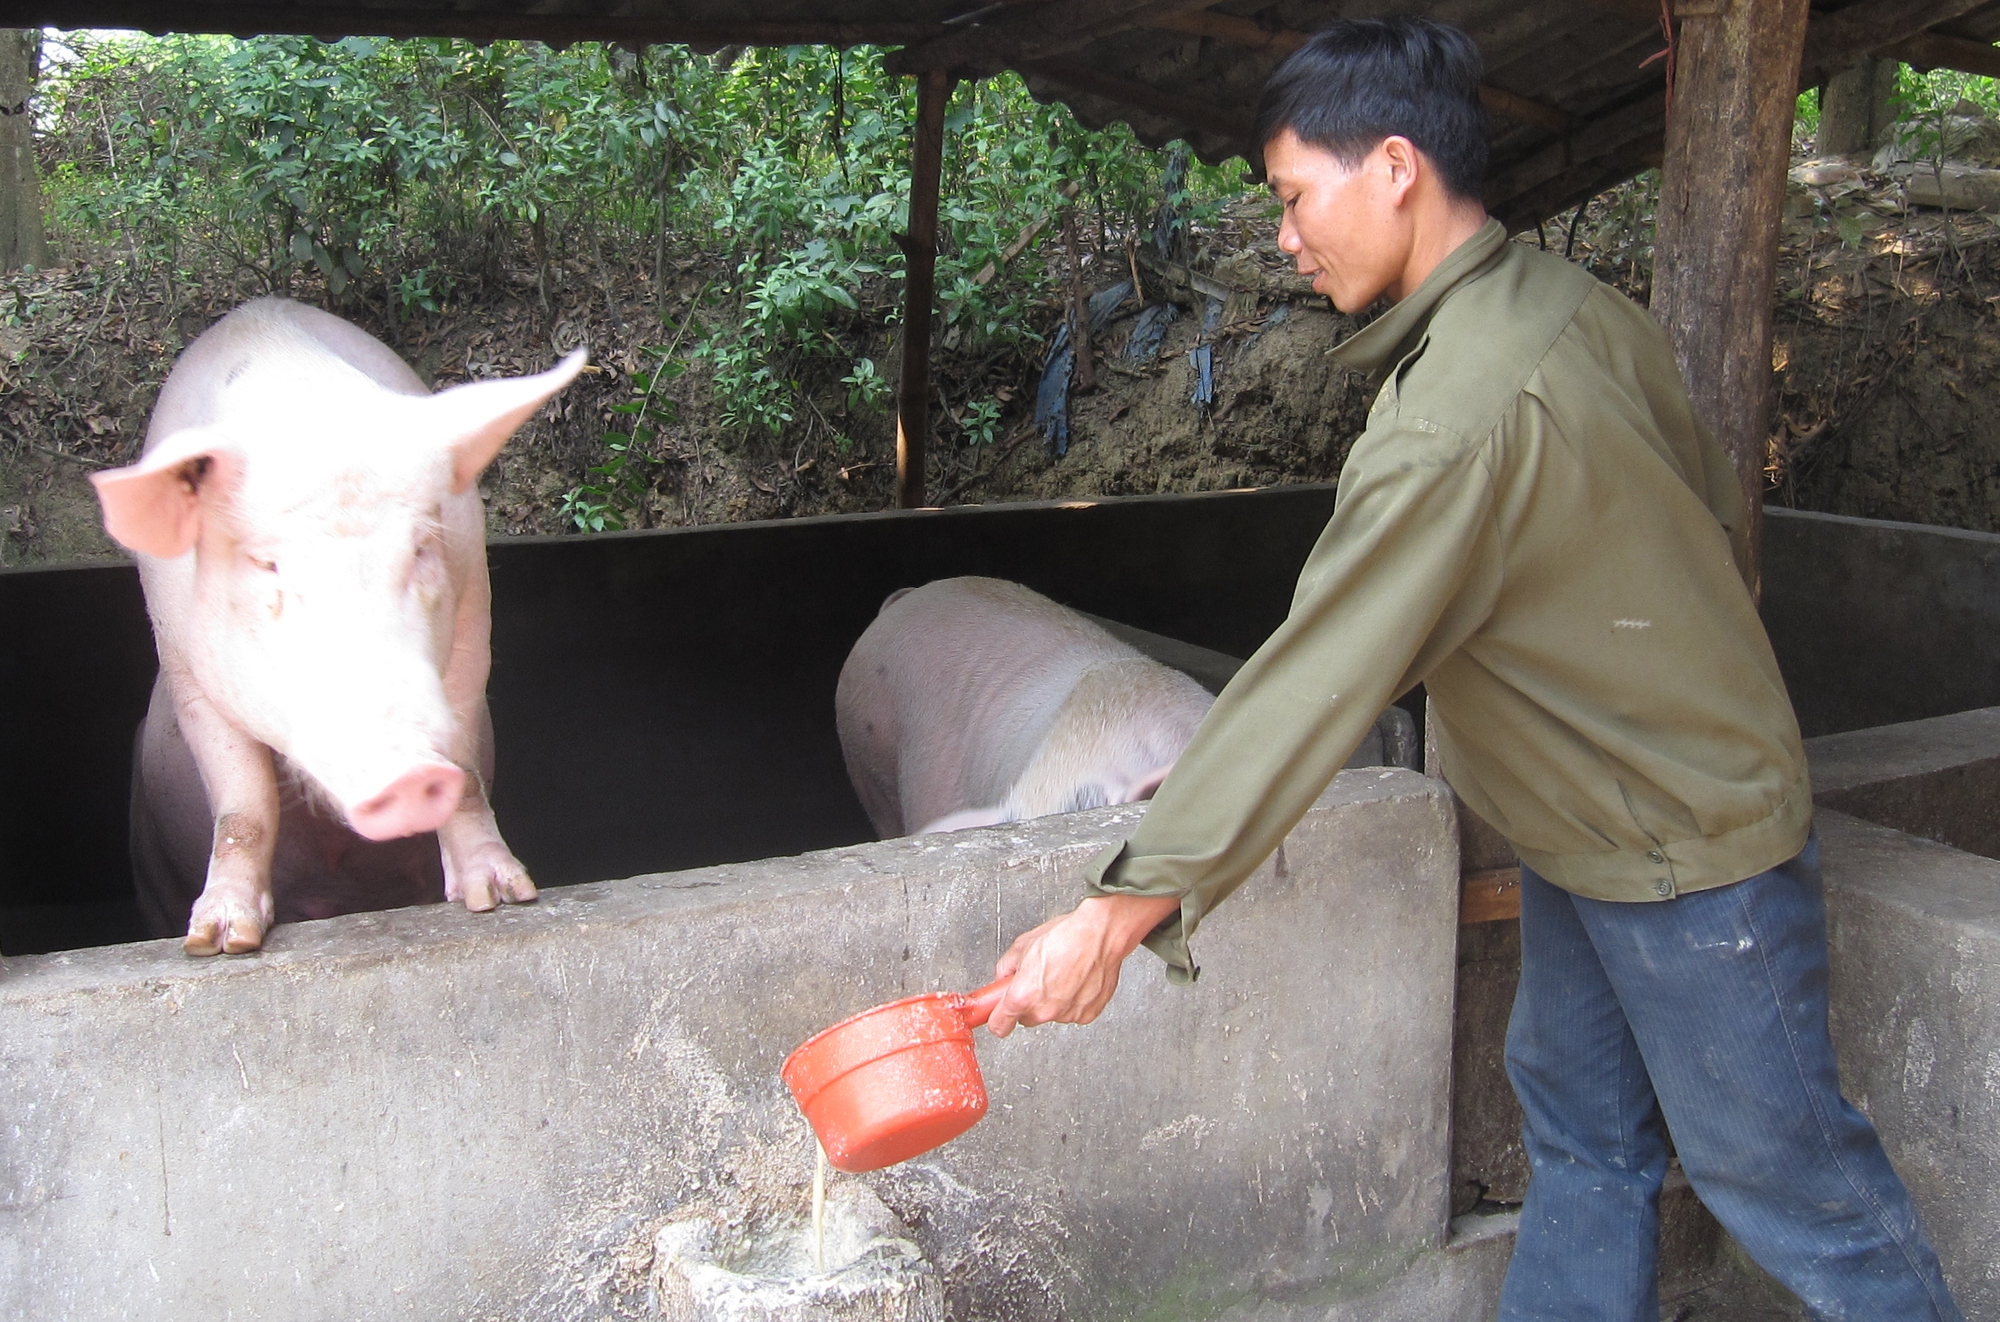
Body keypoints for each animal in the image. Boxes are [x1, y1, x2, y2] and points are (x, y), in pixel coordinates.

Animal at [92, 298, 584, 952]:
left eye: (420, 549)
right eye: (267, 564)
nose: (406, 769)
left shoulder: (473, 614)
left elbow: (465, 767)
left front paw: (502, 897)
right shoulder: (184, 662)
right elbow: (243, 802)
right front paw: (220, 942)